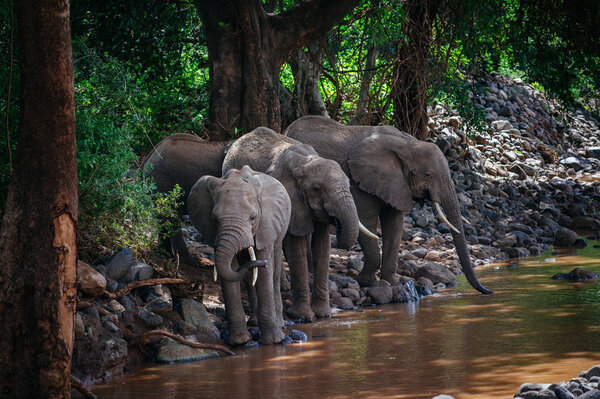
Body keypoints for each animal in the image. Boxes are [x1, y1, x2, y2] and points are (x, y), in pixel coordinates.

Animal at [188, 166, 290, 346]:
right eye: (214, 219)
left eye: (253, 217)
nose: (262, 262)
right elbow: (232, 270)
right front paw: (239, 342)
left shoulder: (266, 225)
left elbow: (265, 273)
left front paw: (273, 341)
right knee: (249, 276)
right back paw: (254, 322)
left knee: (275, 269)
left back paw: (279, 324)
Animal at [223, 127, 378, 322]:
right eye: (316, 189)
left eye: (349, 186)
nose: (337, 221)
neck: (307, 162)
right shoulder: (292, 200)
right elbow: (297, 248)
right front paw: (304, 317)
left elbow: (322, 246)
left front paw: (324, 314)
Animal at [286, 114, 492, 296]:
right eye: (427, 175)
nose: (489, 291)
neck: (408, 144)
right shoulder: (360, 181)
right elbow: (367, 221)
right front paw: (366, 281)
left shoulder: (396, 183)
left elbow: (394, 225)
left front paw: (391, 283)